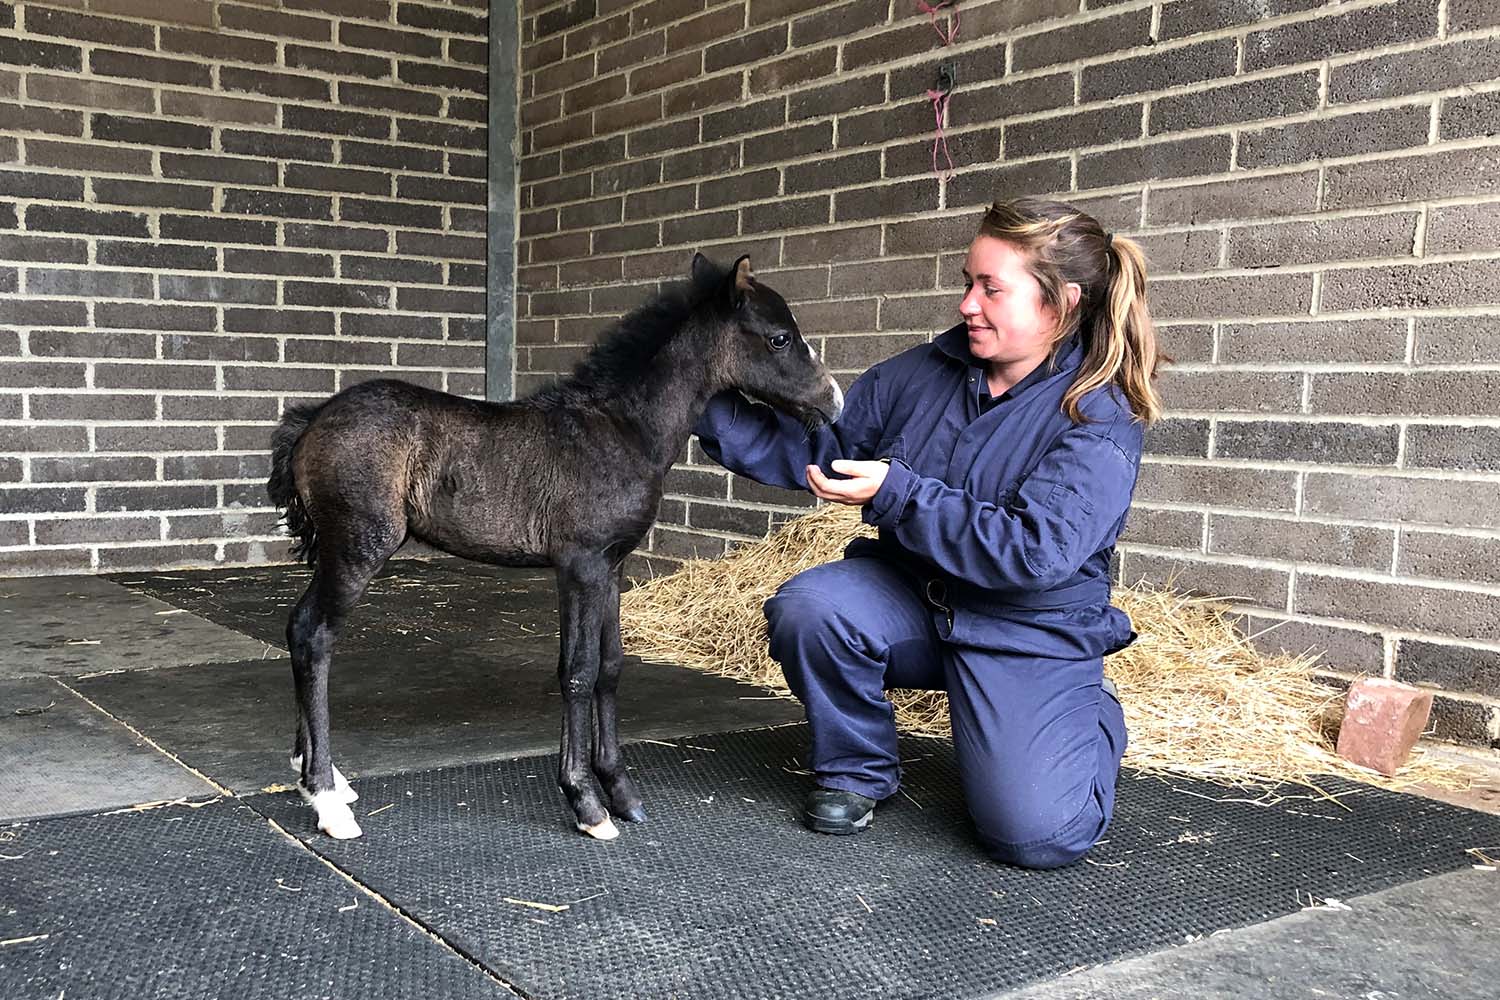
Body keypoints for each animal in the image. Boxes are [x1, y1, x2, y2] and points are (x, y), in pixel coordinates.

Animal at [264, 254, 840, 839]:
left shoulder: (612, 567)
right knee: (314, 634)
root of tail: (311, 420)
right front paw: (586, 801)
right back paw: (326, 799)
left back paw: (322, 779)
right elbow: (578, 671)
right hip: (358, 547)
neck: (622, 430)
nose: (833, 400)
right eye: (779, 338)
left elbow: (611, 667)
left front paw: (622, 793)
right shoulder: (580, 565)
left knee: (300, 630)